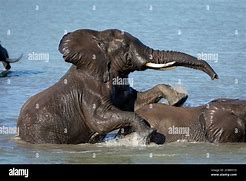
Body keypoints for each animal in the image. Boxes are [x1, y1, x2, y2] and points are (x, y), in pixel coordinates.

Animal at [16, 28, 218, 144]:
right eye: (126, 47)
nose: (215, 77)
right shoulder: (89, 91)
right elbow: (99, 120)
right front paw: (148, 133)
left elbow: (134, 102)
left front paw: (178, 99)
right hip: (41, 132)